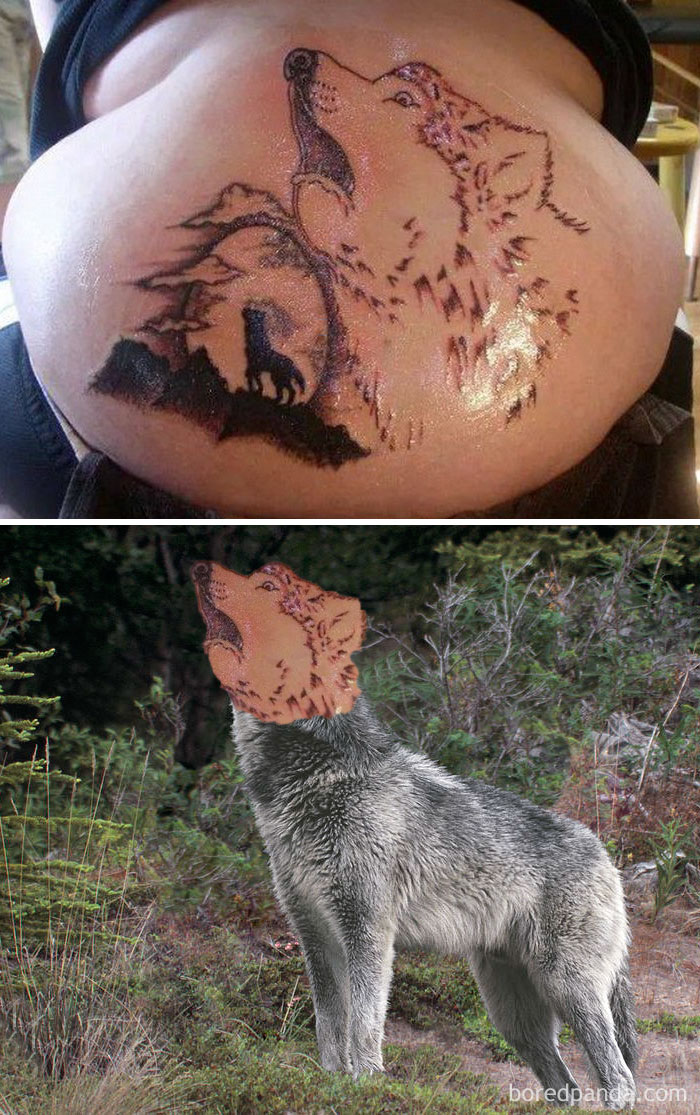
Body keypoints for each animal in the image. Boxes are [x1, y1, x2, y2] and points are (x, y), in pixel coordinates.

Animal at [192, 562, 637, 1110]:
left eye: (268, 586)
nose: (201, 567)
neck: (312, 780)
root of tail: (607, 857)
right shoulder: (314, 936)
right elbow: (329, 1028)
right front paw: (328, 1086)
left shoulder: (367, 932)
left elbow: (363, 1025)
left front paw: (366, 1089)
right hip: (514, 1017)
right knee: (566, 1086)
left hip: (566, 988)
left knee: (619, 1078)